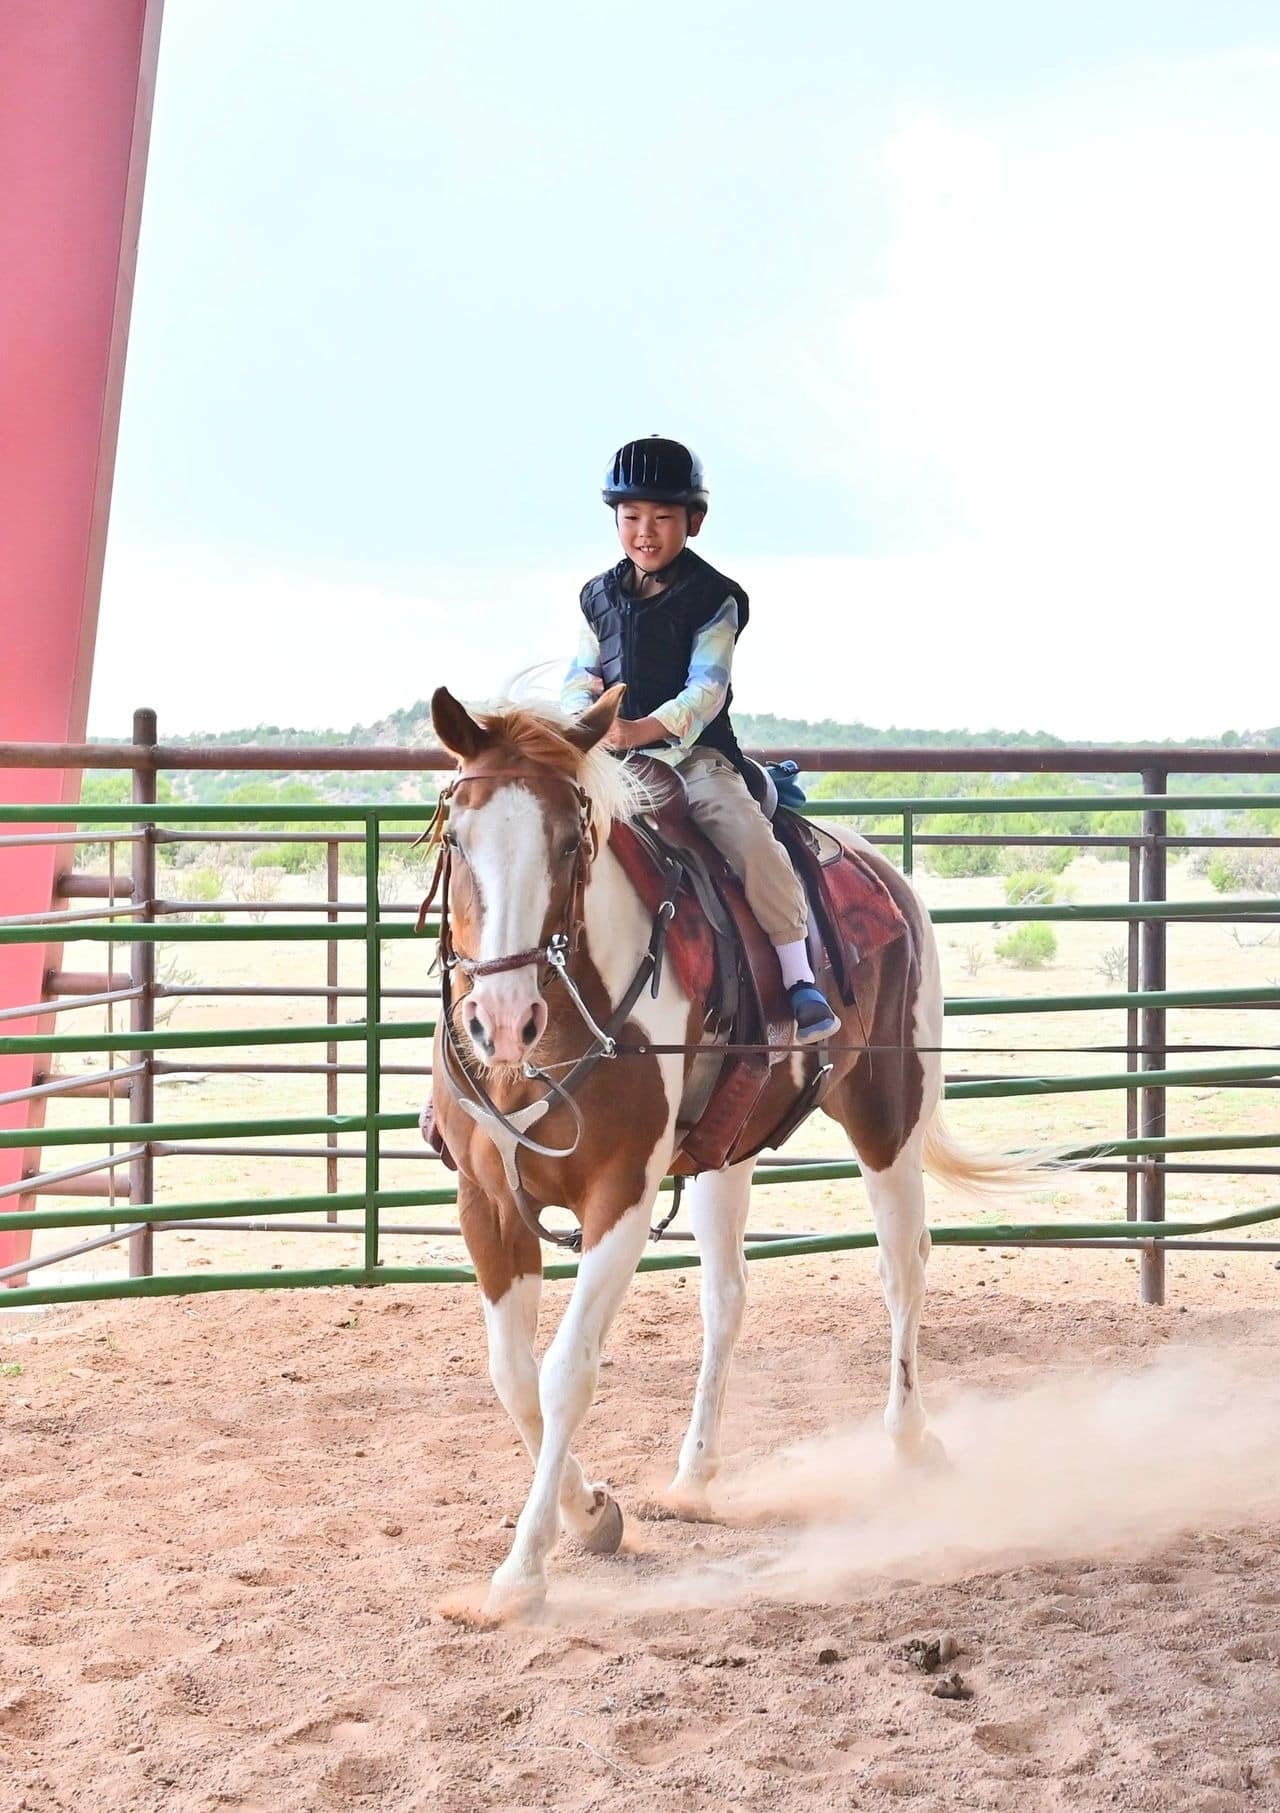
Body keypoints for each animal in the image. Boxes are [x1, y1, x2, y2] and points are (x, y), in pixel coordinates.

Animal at [424, 685, 1015, 1624]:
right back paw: (695, 1474)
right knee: (726, 1299)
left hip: (888, 1115)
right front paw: (591, 1513)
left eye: (570, 841)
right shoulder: (488, 1203)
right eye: (456, 837)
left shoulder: (620, 1198)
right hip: (726, 1155)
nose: (503, 1018)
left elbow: (565, 1372)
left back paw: (911, 1438)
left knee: (903, 1267)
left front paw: (522, 1571)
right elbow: (512, 1374)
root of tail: (886, 874)